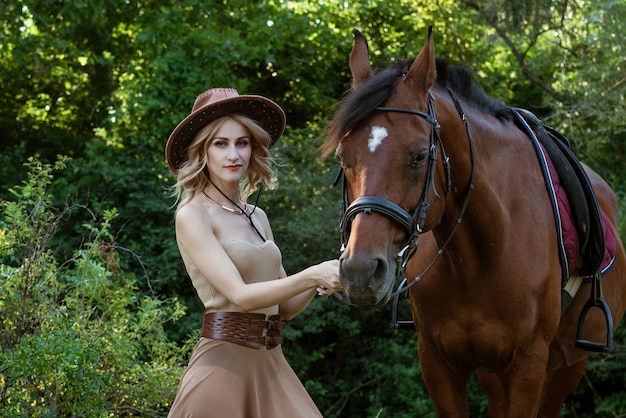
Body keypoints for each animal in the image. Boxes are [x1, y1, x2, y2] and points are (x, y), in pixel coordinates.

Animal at [322, 27, 624, 416]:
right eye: (343, 158)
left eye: (420, 156)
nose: (360, 272)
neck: (480, 255)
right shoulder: (438, 363)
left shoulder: (528, 367)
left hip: (567, 365)